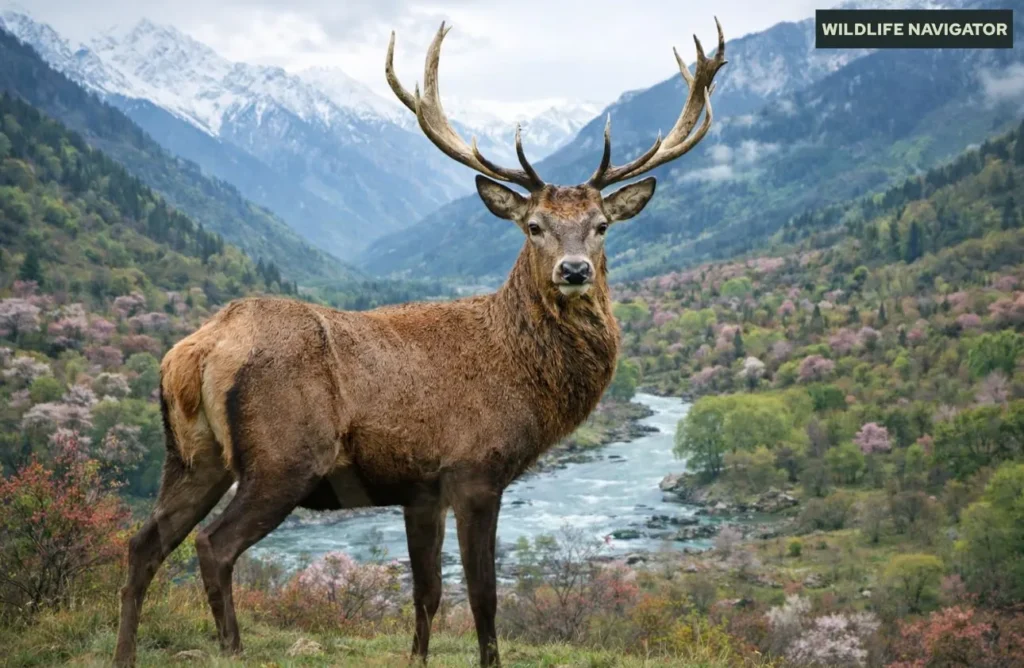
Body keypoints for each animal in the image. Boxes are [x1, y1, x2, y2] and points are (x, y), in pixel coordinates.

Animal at [113, 19, 726, 668]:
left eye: (601, 226)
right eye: (533, 226)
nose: (575, 270)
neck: (524, 381)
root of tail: (197, 351)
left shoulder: (420, 490)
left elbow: (426, 593)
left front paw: (418, 655)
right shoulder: (475, 469)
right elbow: (482, 595)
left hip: (191, 455)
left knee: (142, 543)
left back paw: (126, 651)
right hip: (282, 457)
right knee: (213, 545)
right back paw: (231, 647)